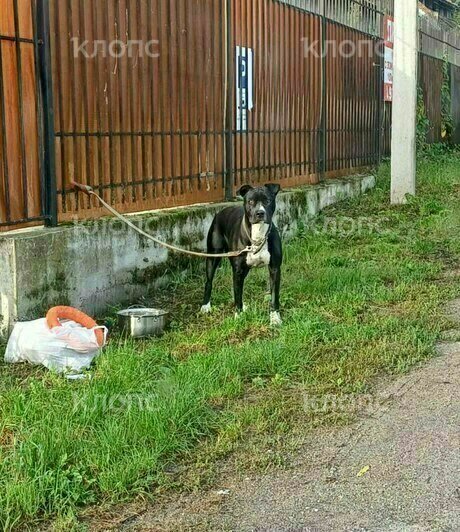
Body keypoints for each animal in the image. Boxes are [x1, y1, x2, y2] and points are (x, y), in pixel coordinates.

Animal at [202, 183, 284, 324]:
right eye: (250, 201)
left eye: (267, 200)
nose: (260, 213)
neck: (258, 235)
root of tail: (221, 211)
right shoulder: (238, 270)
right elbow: (238, 293)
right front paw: (238, 316)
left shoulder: (274, 269)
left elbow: (274, 295)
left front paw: (274, 318)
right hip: (213, 255)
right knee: (209, 281)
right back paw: (205, 306)